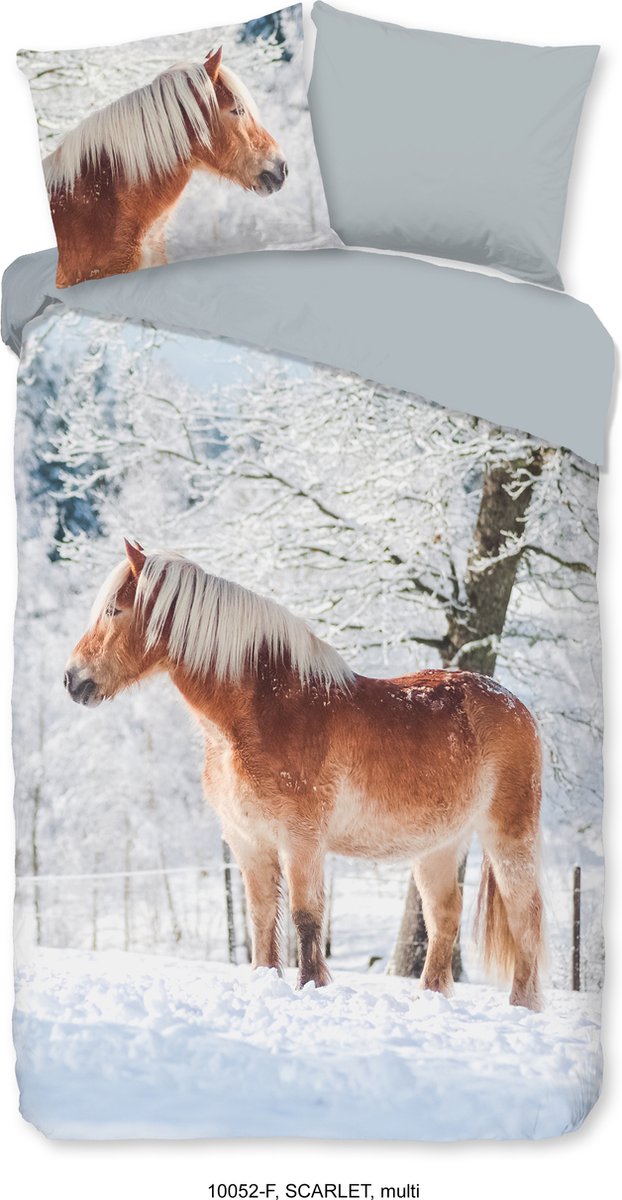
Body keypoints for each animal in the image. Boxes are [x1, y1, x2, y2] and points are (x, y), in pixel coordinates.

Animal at [64, 541, 545, 1011]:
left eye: (114, 610)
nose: (71, 679)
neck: (261, 711)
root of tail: (516, 705)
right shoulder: (248, 841)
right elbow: (261, 917)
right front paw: (265, 980)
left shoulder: (301, 839)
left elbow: (305, 917)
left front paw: (311, 987)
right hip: (439, 846)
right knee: (444, 917)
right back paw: (429, 1000)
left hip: (508, 838)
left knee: (526, 916)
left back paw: (521, 1006)